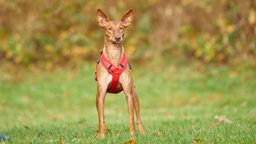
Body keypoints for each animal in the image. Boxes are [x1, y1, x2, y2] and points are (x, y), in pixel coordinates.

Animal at [95, 8, 145, 137]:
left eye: (121, 28)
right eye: (109, 28)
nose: (118, 37)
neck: (114, 55)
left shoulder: (128, 94)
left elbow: (131, 118)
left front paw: (132, 135)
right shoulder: (101, 95)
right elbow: (101, 118)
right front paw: (101, 137)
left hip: (135, 96)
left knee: (138, 118)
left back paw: (142, 133)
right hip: (97, 99)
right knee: (102, 117)